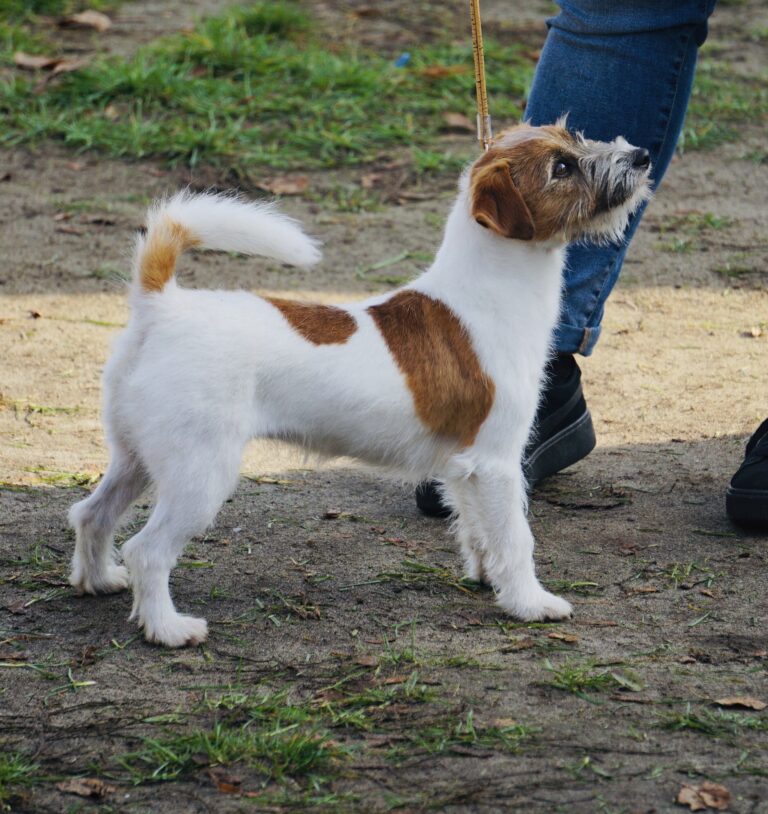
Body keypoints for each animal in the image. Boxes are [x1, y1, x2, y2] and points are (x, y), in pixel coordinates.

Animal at [69, 121, 652, 648]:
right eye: (561, 168)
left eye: (574, 138)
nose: (642, 155)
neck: (486, 292)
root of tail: (161, 305)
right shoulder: (497, 463)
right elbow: (515, 538)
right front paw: (530, 603)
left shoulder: (465, 468)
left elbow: (478, 530)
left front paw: (489, 580)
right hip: (199, 474)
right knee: (147, 550)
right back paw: (168, 629)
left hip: (137, 457)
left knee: (91, 513)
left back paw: (99, 580)